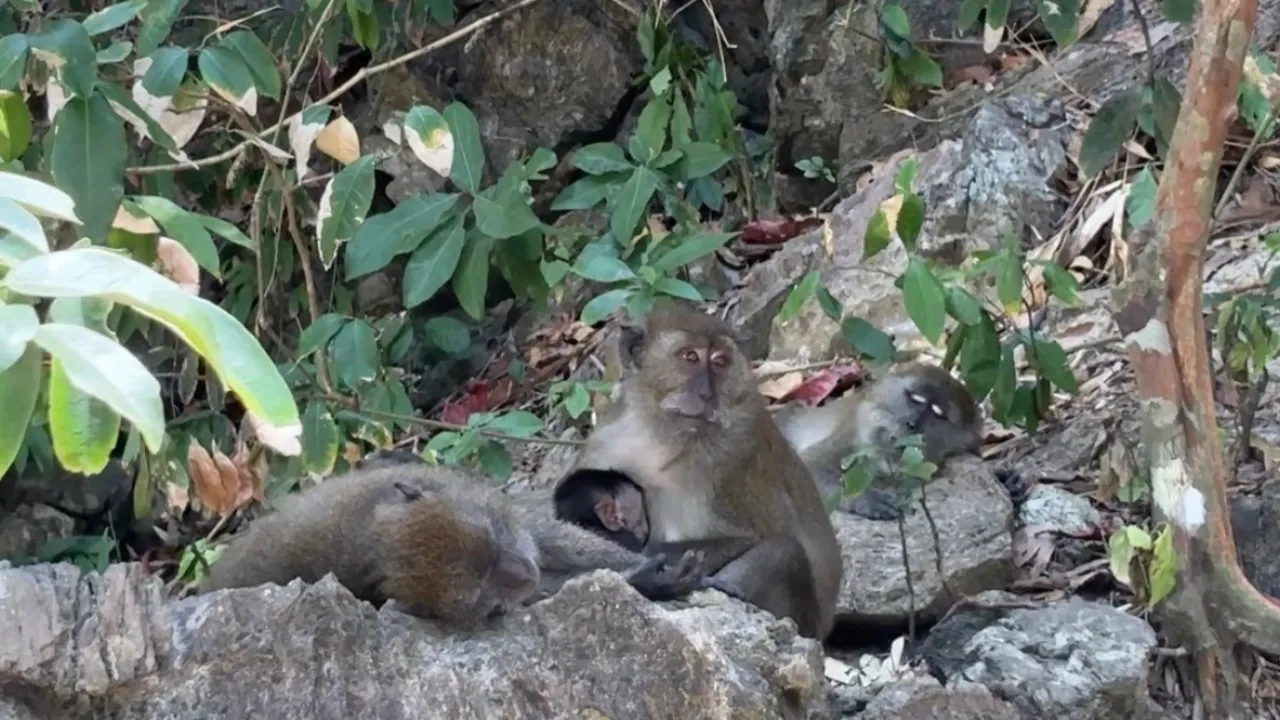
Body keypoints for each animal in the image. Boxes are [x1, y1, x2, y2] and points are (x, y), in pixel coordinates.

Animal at [558, 306, 844, 641]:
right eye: (690, 357)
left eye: (719, 362)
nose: (708, 394)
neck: (661, 435)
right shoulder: (604, 443)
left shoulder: (730, 461)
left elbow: (741, 539)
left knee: (785, 552)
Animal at [776, 362, 984, 521]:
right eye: (915, 397)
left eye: (938, 414)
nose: (912, 422)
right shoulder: (851, 437)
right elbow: (808, 467)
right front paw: (868, 498)